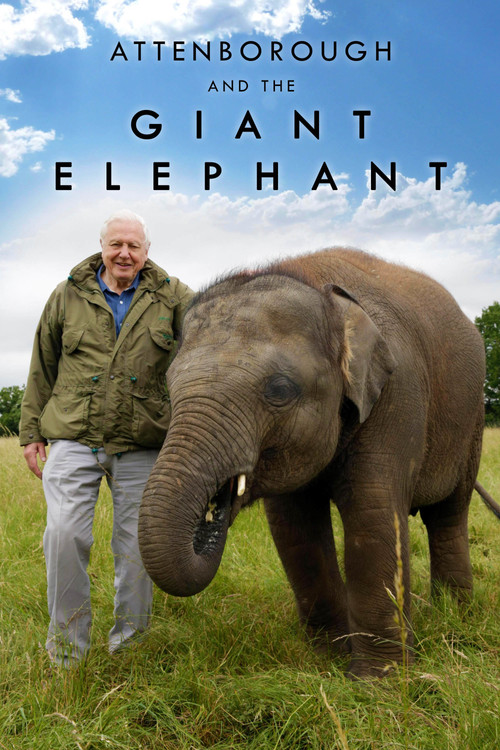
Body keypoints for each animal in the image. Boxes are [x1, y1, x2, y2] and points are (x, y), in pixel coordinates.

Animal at [138, 247, 487, 678]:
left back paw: (454, 615)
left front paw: (378, 680)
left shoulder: (398, 391)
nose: (211, 514)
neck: (319, 288)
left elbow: (372, 510)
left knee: (449, 514)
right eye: (170, 389)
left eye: (280, 389)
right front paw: (328, 660)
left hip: (471, 422)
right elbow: (294, 526)